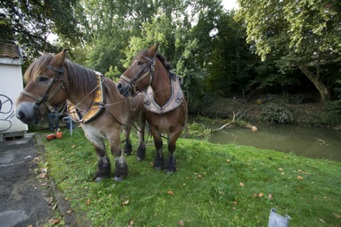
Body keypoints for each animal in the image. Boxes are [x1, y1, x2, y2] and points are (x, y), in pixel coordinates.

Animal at [15, 50, 145, 182]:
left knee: (140, 135)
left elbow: (116, 152)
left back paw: (140, 154)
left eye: (43, 78)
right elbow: (100, 153)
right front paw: (102, 173)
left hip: (139, 119)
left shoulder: (112, 132)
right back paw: (128, 150)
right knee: (127, 132)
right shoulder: (91, 134)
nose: (20, 113)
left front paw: (120, 173)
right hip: (127, 121)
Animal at [116, 43, 186, 173]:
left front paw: (171, 165)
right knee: (134, 132)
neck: (163, 102)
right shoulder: (153, 127)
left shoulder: (177, 128)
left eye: (140, 63)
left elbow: (171, 145)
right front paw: (158, 162)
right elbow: (158, 143)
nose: (119, 86)